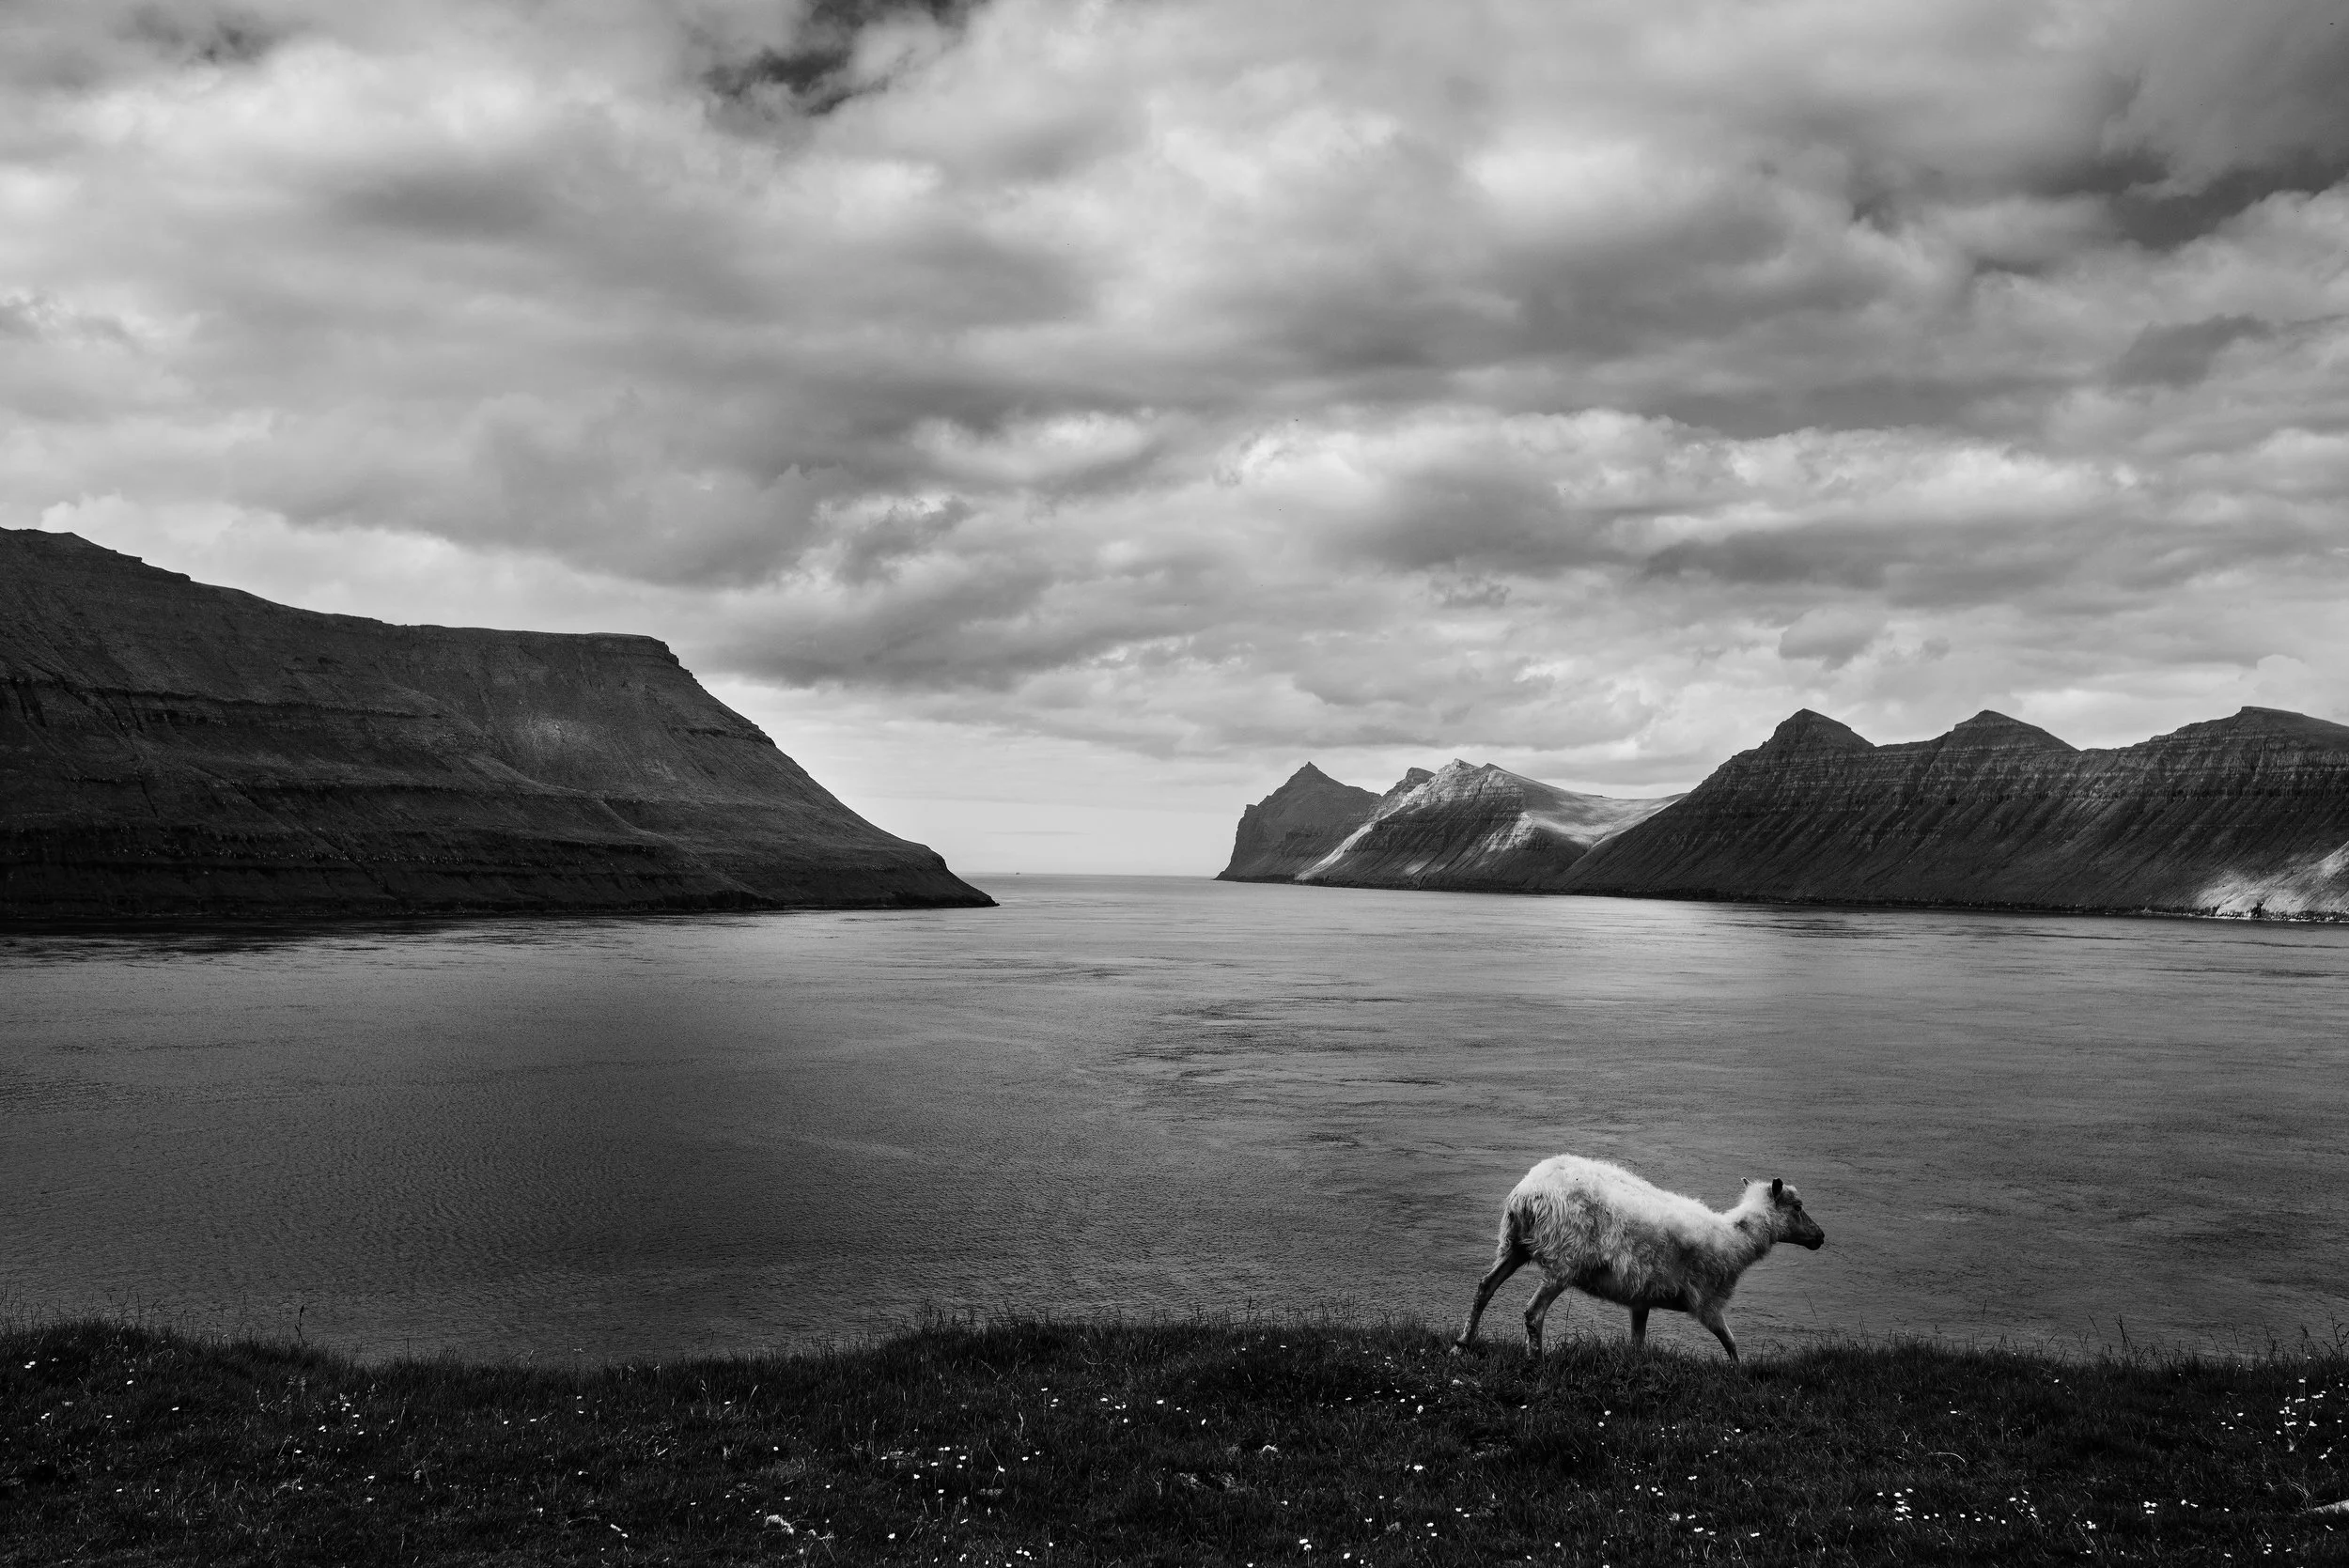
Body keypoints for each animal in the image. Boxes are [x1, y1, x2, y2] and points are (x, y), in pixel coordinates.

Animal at [1451, 1155, 1826, 1363]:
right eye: (1798, 1207)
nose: (1820, 1237)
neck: (1737, 1239)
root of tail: (1527, 1193)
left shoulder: (1641, 1299)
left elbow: (1638, 1344)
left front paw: (1638, 1368)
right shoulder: (1707, 1303)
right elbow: (1730, 1343)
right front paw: (1739, 1375)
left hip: (1515, 1245)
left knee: (1484, 1287)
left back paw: (1462, 1344)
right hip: (1563, 1260)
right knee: (1533, 1312)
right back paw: (1536, 1360)